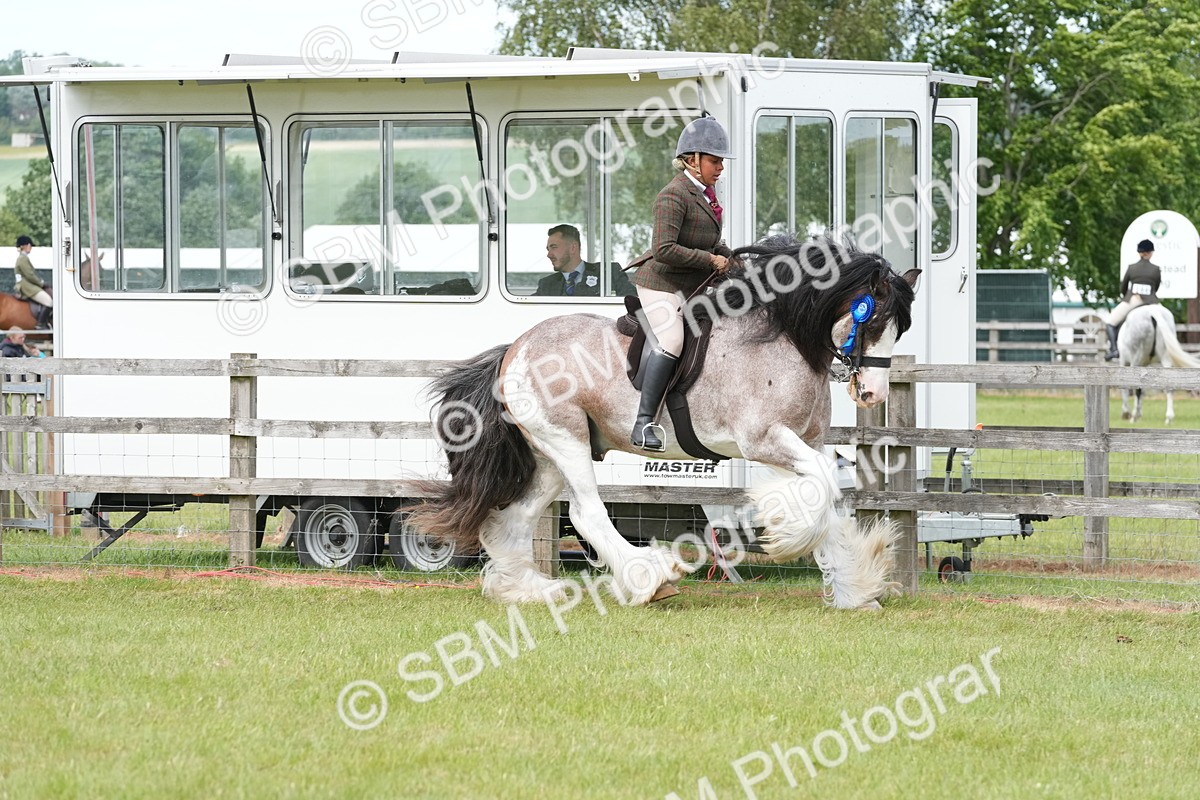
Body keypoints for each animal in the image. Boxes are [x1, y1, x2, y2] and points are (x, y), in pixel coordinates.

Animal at [411, 234, 920, 610]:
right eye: (873, 319)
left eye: (900, 330)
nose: (872, 394)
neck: (783, 340)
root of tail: (514, 348)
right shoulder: (764, 441)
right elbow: (821, 489)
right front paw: (788, 536)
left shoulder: (806, 444)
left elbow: (827, 494)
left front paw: (856, 590)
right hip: (566, 440)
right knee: (587, 513)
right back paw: (650, 580)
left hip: (550, 455)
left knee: (517, 518)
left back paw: (527, 589)